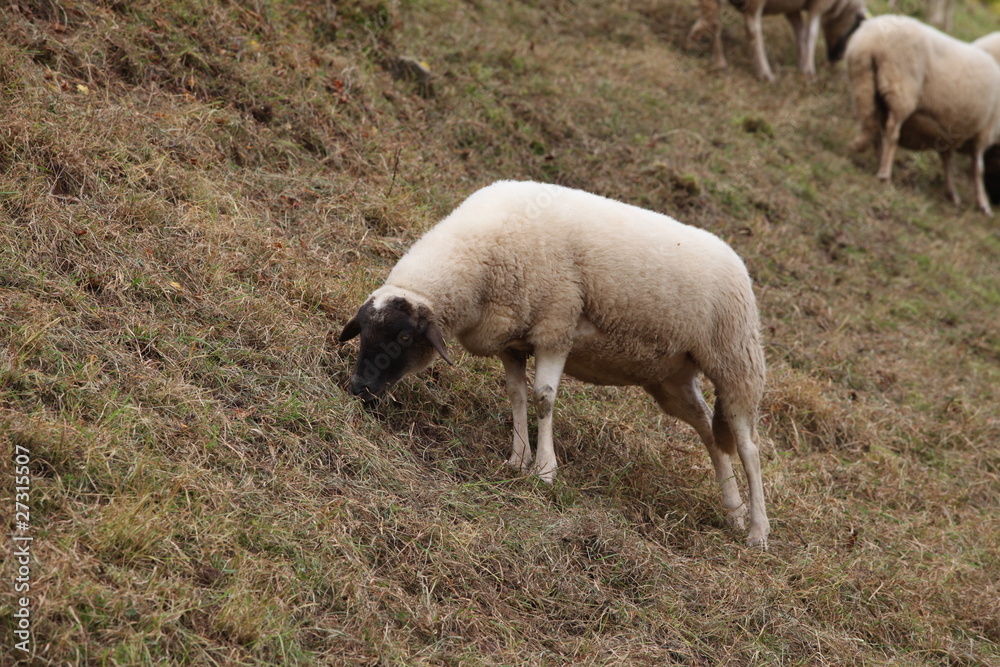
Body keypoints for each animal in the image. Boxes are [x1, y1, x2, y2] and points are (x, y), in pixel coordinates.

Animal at [340, 181, 771, 547]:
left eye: (403, 338)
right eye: (363, 331)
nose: (359, 388)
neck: (478, 261)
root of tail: (737, 259)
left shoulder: (556, 326)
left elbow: (543, 398)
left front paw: (545, 472)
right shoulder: (511, 339)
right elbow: (516, 395)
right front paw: (518, 459)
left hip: (736, 361)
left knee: (748, 446)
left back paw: (757, 531)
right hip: (670, 377)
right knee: (709, 430)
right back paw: (733, 510)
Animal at [687, 0, 867, 82]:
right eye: (855, 28)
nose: (838, 58)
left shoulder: (792, 9)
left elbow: (800, 34)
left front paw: (802, 65)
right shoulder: (818, 5)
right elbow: (811, 34)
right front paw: (809, 72)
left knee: (714, 20)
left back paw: (714, 58)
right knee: (752, 27)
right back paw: (765, 73)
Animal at [845, 15, 1000, 214]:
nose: (995, 201)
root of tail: (871, 39)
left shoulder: (950, 131)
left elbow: (947, 160)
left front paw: (952, 194)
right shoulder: (984, 131)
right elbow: (977, 168)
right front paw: (983, 205)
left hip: (863, 79)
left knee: (874, 127)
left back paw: (877, 161)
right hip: (900, 88)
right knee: (891, 132)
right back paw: (885, 174)